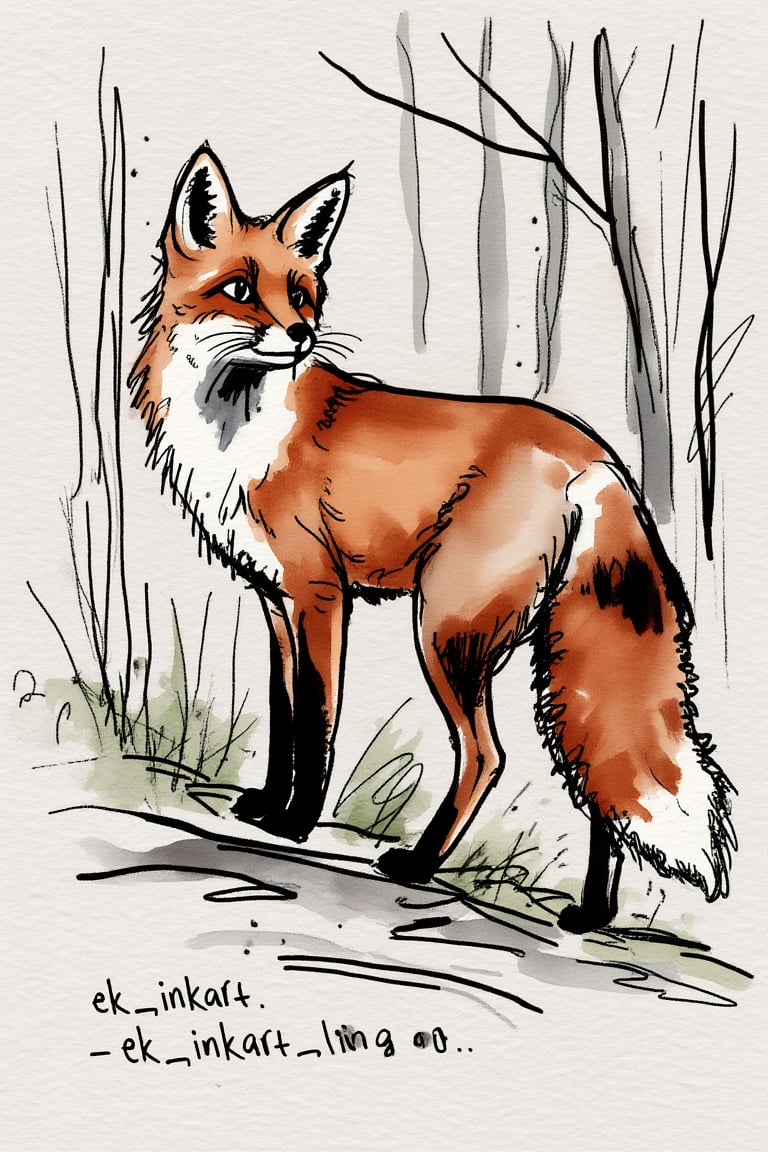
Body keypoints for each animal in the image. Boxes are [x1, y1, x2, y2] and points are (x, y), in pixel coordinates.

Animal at [129, 144, 735, 933]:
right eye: (238, 289)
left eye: (301, 295)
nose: (300, 337)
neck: (241, 431)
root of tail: (597, 457)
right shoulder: (273, 600)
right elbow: (285, 714)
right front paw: (264, 805)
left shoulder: (320, 595)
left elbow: (317, 723)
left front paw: (295, 822)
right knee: (591, 771)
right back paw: (591, 912)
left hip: (445, 630)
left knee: (488, 755)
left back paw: (420, 864)